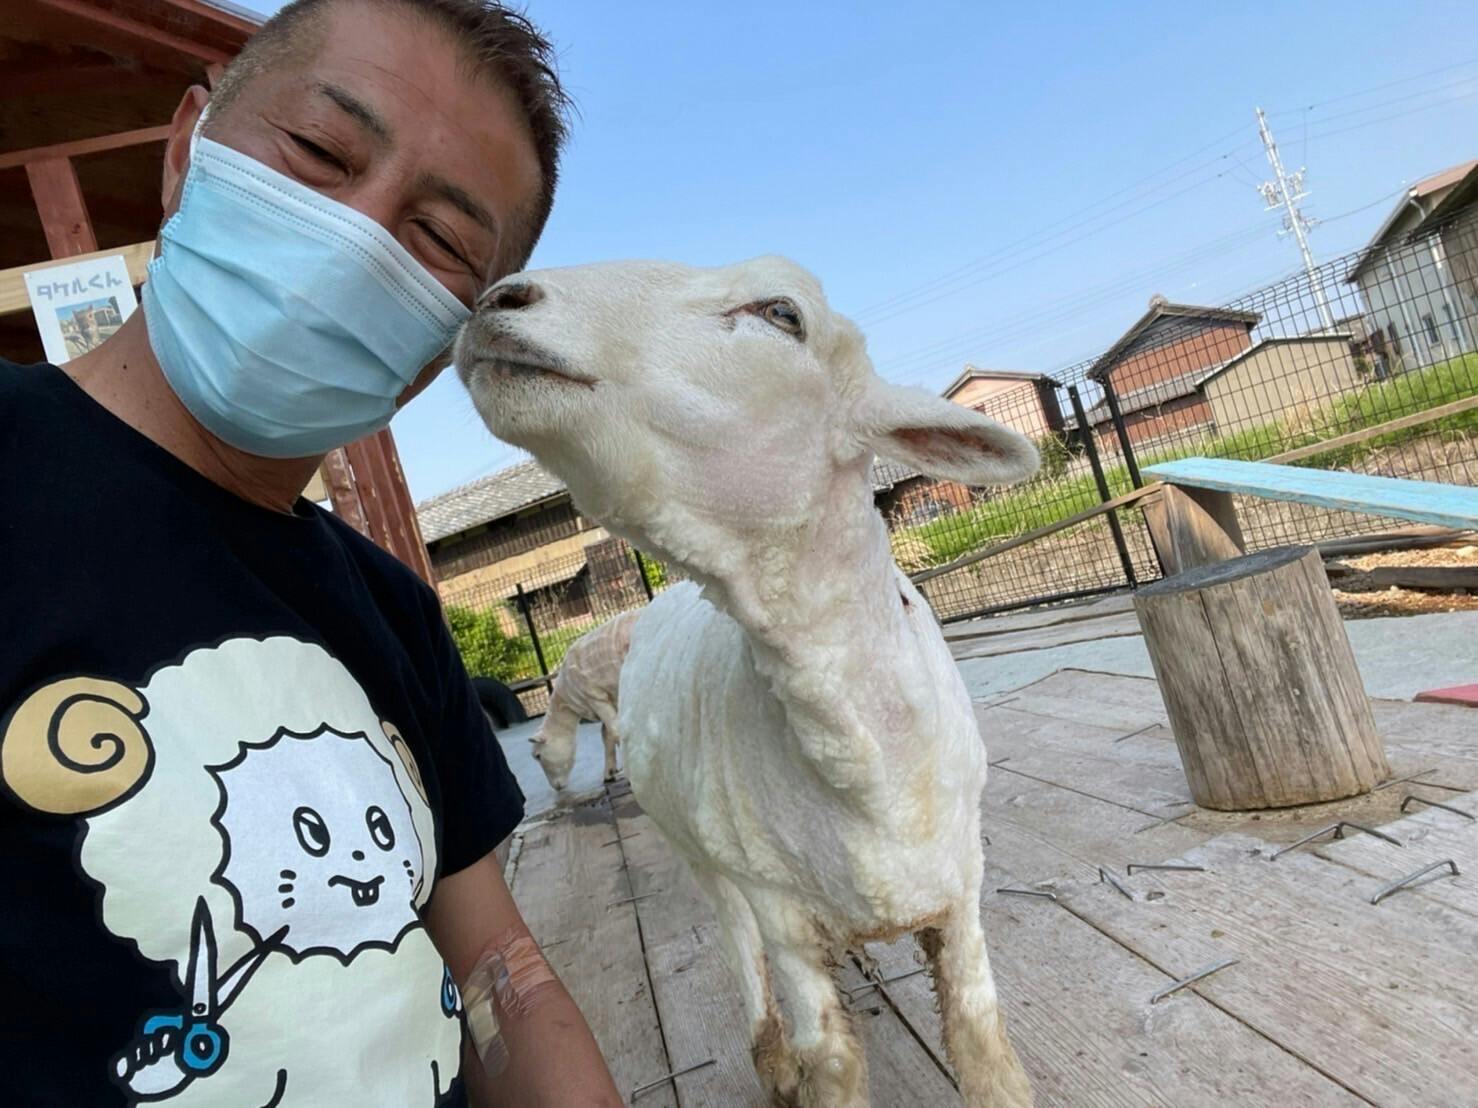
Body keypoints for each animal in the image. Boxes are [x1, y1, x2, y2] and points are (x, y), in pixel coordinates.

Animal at [530, 609, 639, 790]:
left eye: (538, 756)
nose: (556, 787)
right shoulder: (609, 699)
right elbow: (606, 735)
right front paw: (609, 773)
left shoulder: (595, 696)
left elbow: (615, 731)